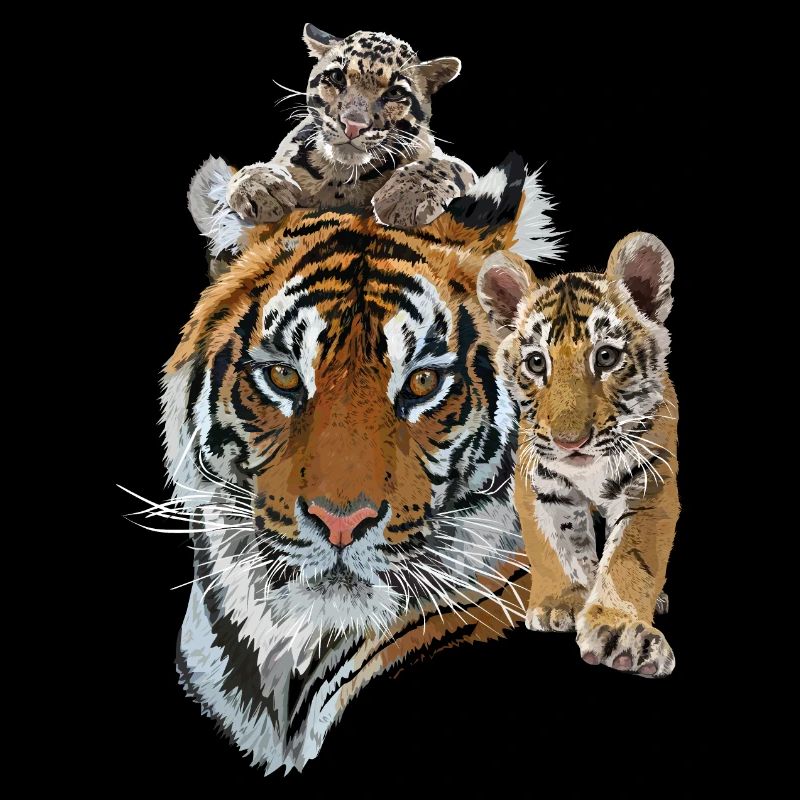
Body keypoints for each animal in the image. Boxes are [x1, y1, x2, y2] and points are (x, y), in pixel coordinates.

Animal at [219, 24, 476, 234]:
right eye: (337, 77)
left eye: (395, 93)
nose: (353, 125)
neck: (342, 175)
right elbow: (250, 170)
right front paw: (261, 185)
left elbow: (442, 164)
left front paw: (405, 196)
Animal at [476, 234, 680, 677]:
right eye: (537, 362)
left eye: (606, 357)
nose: (571, 442)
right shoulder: (540, 483)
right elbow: (557, 546)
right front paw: (561, 604)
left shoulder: (649, 485)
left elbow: (628, 559)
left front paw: (620, 632)